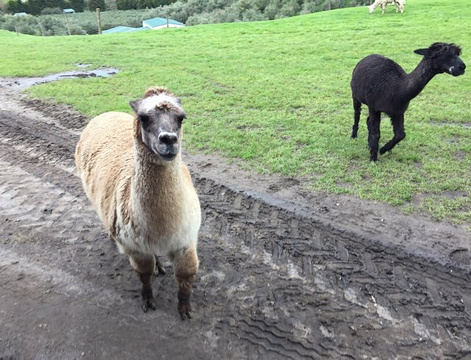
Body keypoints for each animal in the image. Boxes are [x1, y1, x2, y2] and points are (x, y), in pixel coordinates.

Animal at [76, 86, 202, 320]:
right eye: (143, 118)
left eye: (181, 117)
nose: (169, 140)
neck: (162, 226)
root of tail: (104, 114)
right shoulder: (135, 247)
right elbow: (144, 275)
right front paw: (147, 299)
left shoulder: (185, 240)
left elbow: (185, 276)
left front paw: (185, 308)